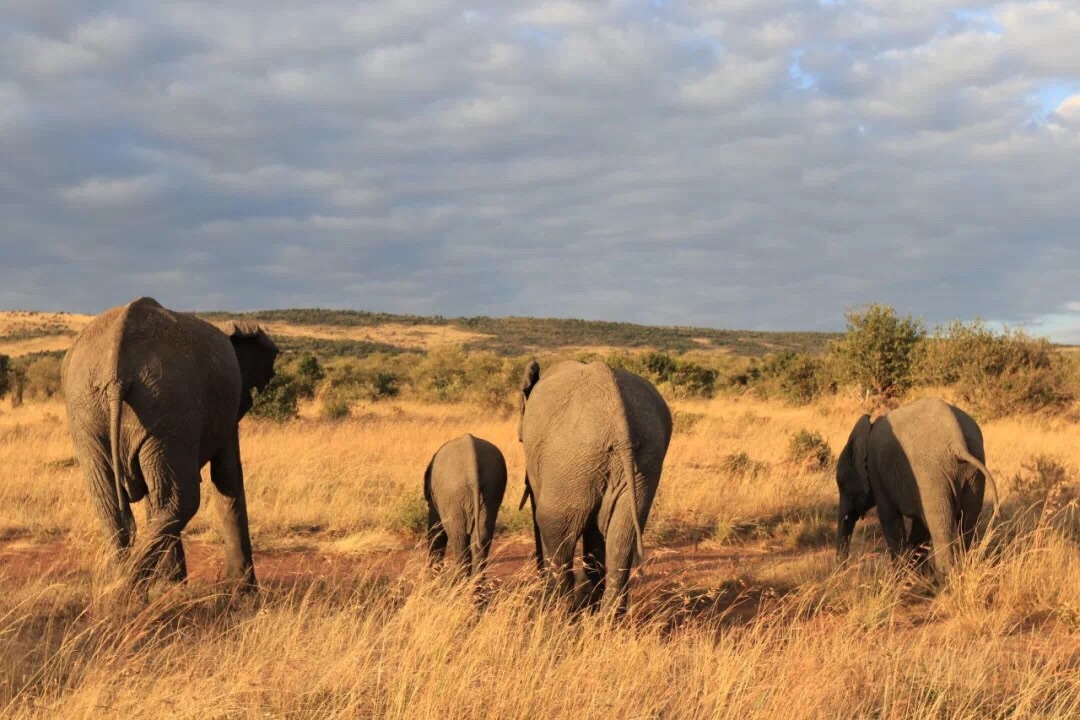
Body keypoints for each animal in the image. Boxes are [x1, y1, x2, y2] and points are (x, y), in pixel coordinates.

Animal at [59, 297, 280, 591]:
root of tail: (117, 370)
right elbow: (228, 476)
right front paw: (243, 590)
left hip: (92, 411)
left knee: (114, 504)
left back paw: (121, 587)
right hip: (167, 406)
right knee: (180, 500)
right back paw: (128, 589)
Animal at [421, 431, 505, 578]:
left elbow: (436, 530)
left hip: (452, 492)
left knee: (457, 537)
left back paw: (460, 581)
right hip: (493, 486)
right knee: (481, 537)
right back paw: (475, 583)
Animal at [518, 360, 669, 613]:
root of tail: (619, 422)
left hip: (570, 459)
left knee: (555, 528)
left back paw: (556, 611)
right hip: (645, 459)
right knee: (622, 535)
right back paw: (606, 617)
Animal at [833, 397, 1002, 578]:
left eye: (841, 483)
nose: (843, 573)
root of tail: (957, 443)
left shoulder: (877, 473)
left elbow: (890, 519)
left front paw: (900, 576)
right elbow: (920, 525)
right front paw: (914, 571)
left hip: (931, 475)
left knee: (940, 528)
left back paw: (944, 579)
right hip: (972, 473)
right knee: (968, 524)